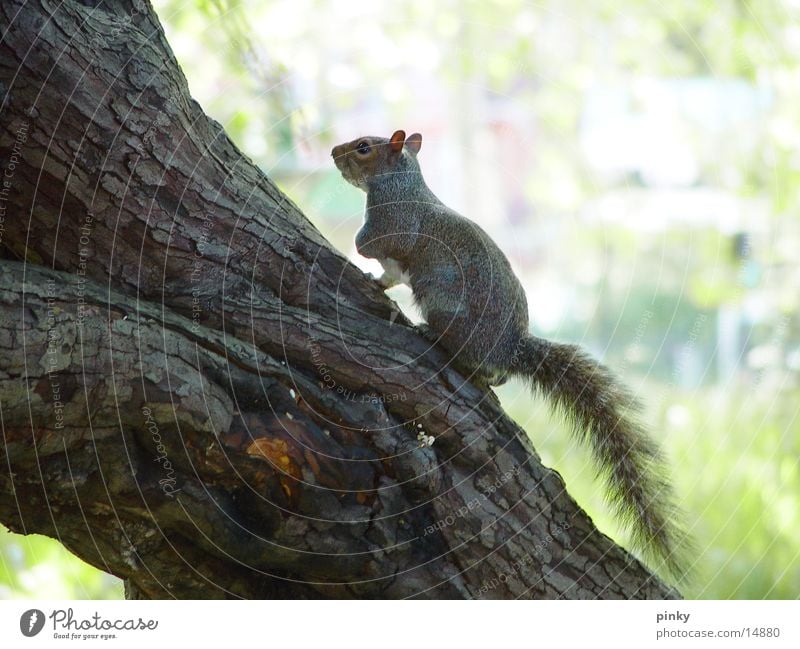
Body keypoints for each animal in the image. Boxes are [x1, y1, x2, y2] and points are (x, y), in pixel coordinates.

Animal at [330, 129, 688, 580]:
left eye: (364, 147)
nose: (333, 152)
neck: (403, 182)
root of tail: (511, 348)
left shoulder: (392, 225)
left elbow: (374, 244)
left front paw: (361, 257)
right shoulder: (396, 258)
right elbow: (389, 276)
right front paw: (374, 281)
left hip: (444, 305)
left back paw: (432, 335)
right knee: (497, 377)